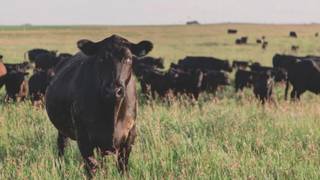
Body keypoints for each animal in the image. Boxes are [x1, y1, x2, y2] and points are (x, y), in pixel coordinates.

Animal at [45, 34, 154, 175]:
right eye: (101, 58)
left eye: (128, 59)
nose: (113, 90)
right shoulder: (84, 138)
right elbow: (92, 168)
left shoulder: (130, 135)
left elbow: (123, 167)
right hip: (62, 130)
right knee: (62, 146)